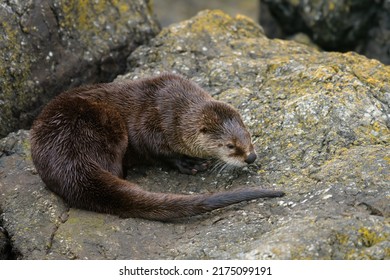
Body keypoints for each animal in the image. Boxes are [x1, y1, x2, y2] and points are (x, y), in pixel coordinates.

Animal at [30, 74, 284, 221]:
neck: (174, 111)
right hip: (106, 123)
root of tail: (72, 161)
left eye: (248, 135)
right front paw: (188, 163)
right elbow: (155, 150)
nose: (250, 157)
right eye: (230, 145)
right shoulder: (148, 126)